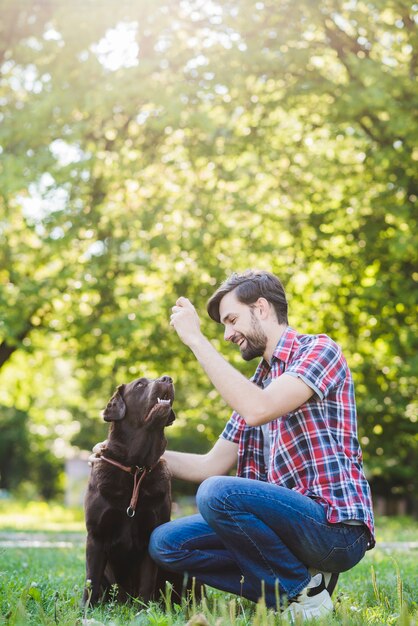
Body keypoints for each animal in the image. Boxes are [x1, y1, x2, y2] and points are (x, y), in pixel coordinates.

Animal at [83, 372, 178, 604]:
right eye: (140, 384)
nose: (168, 378)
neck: (136, 466)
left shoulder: (151, 534)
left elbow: (146, 582)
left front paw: (143, 609)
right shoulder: (96, 535)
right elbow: (91, 580)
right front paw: (85, 608)